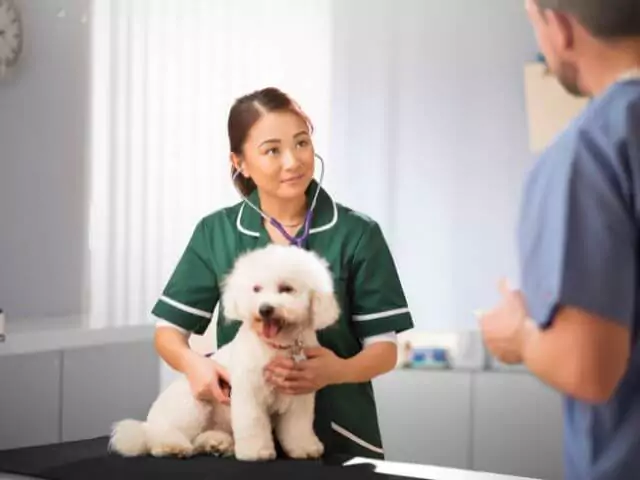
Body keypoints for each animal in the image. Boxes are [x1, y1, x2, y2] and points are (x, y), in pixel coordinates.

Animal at [110, 246, 340, 464]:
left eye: (286, 288)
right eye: (256, 289)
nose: (265, 309)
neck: (278, 346)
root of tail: (148, 423)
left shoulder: (299, 394)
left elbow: (298, 426)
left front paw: (305, 448)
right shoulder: (249, 392)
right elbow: (253, 423)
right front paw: (256, 452)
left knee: (199, 438)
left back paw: (216, 443)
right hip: (193, 405)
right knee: (157, 437)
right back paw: (172, 446)